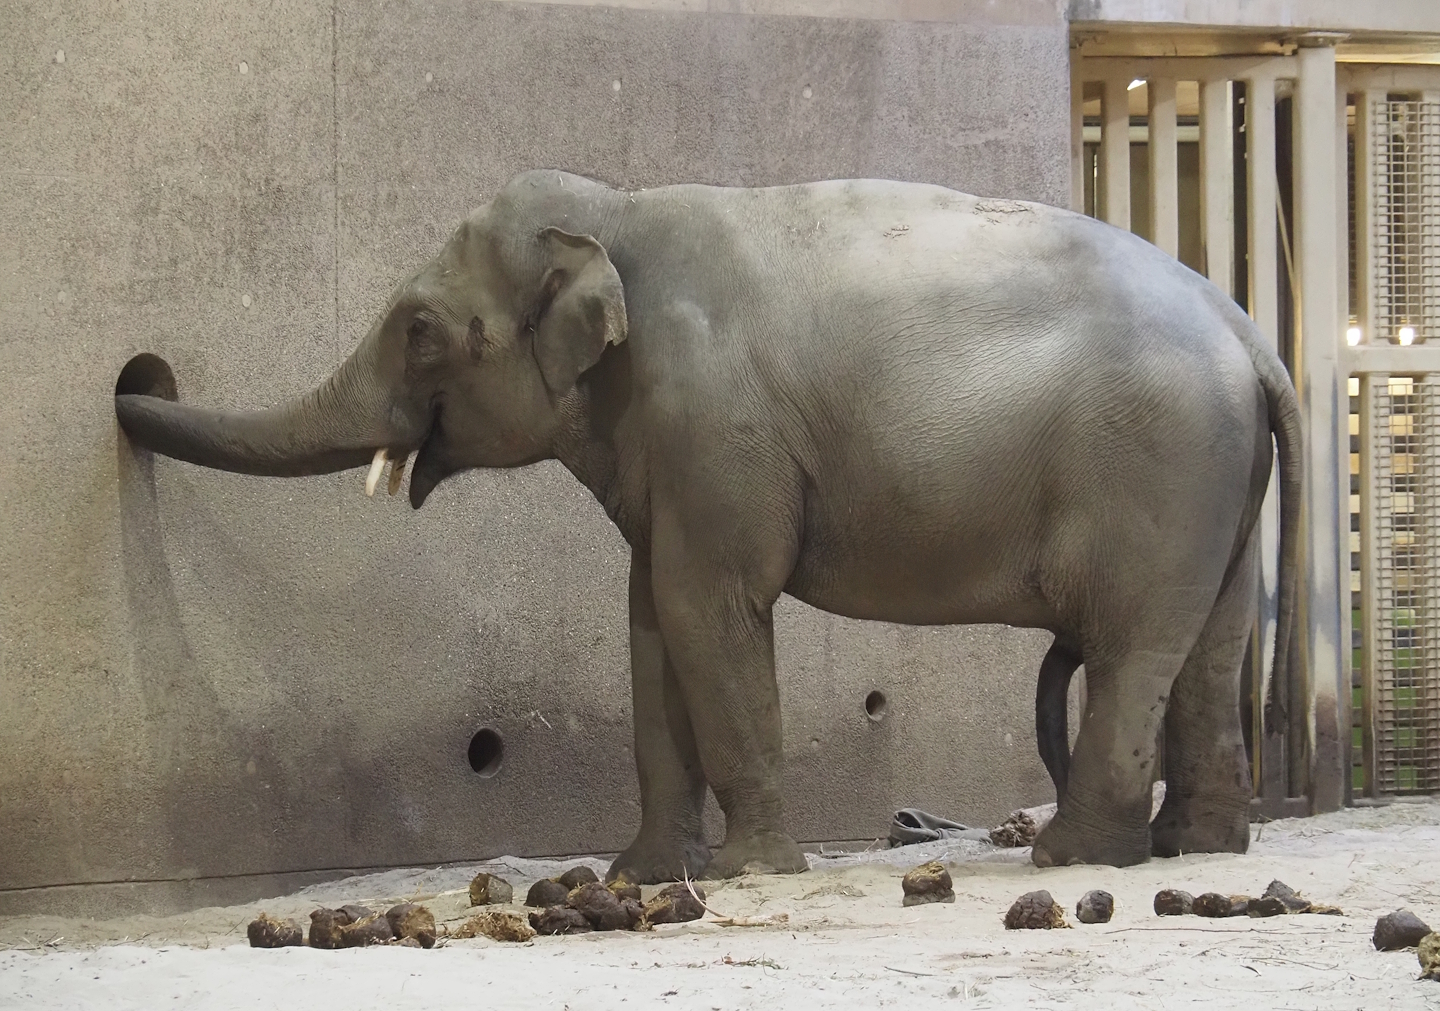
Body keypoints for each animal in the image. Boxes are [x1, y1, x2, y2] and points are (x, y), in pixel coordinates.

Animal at [115, 169, 1300, 880]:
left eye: (417, 329)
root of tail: (1247, 327)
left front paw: (749, 872)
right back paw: (1196, 848)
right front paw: (641, 875)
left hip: (1160, 466)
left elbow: (706, 607)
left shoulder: (711, 419)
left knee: (1134, 648)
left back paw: (1076, 857)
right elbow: (650, 620)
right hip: (1220, 486)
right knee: (1210, 646)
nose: (135, 381)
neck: (614, 213)